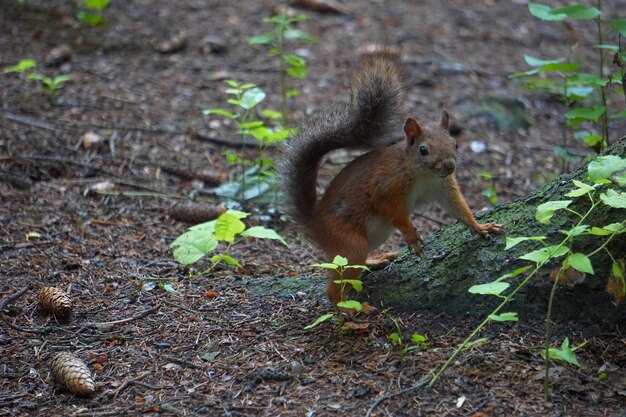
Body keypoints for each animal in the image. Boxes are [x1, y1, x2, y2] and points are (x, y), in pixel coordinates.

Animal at [278, 52, 502, 310]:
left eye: (455, 144)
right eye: (423, 150)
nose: (449, 166)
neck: (424, 175)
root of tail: (314, 221)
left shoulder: (443, 187)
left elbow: (459, 208)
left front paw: (480, 227)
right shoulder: (385, 185)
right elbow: (391, 210)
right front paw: (411, 235)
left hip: (374, 238)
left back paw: (374, 261)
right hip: (350, 241)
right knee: (336, 285)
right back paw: (353, 309)